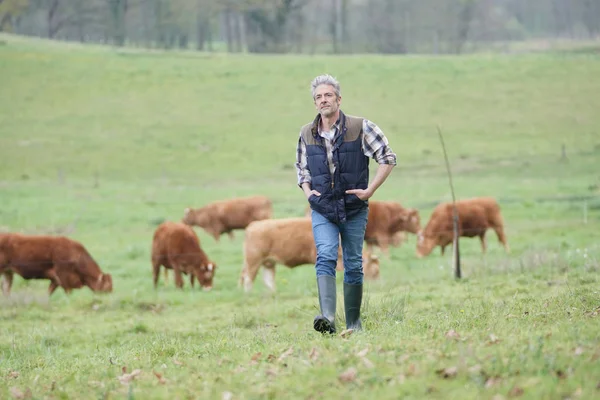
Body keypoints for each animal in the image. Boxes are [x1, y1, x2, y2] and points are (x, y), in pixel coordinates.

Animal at [239, 217, 380, 292]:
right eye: (375, 271)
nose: (377, 285)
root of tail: (253, 225)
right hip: (253, 262)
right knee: (248, 279)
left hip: (268, 263)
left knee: (268, 281)